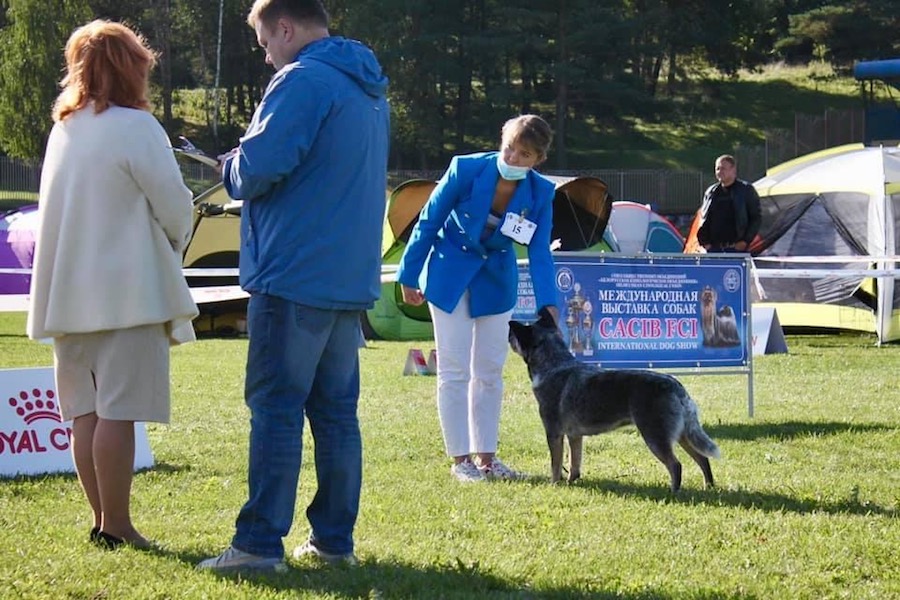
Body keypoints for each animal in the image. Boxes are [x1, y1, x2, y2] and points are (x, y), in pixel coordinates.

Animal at [510, 308, 720, 490]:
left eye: (513, 334)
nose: (508, 332)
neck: (553, 365)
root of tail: (677, 388)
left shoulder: (554, 433)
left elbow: (556, 463)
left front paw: (554, 484)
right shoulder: (574, 436)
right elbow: (574, 462)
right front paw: (571, 481)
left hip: (655, 436)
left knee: (676, 465)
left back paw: (674, 492)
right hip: (684, 435)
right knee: (703, 458)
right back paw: (708, 486)